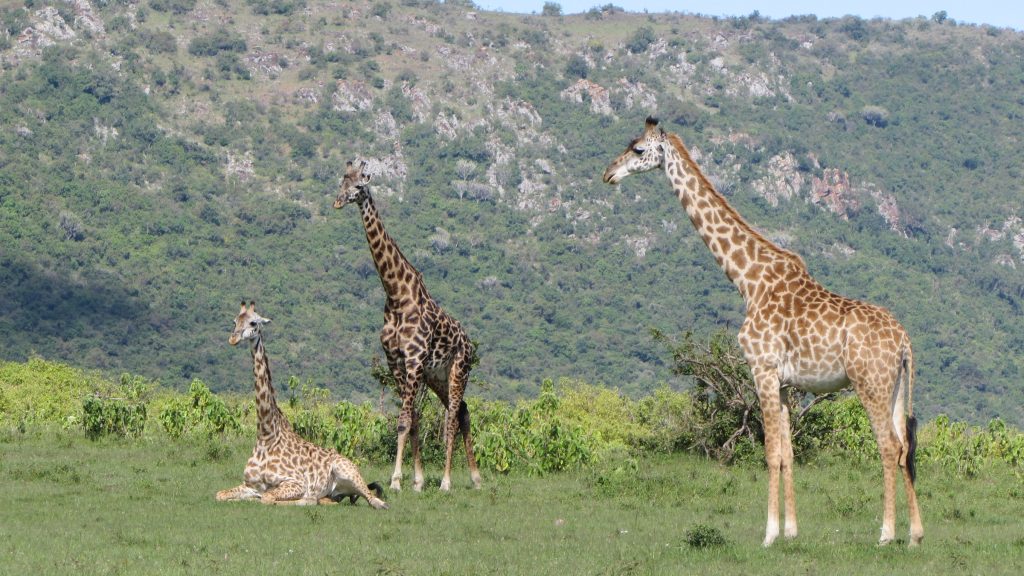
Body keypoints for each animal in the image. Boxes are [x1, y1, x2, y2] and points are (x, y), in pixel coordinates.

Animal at [215, 301, 387, 506]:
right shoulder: (249, 484)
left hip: (346, 470)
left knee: (375, 501)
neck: (266, 436)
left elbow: (268, 498)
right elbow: (220, 494)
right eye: (234, 321)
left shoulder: (295, 482)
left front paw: (303, 499)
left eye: (253, 323)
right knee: (334, 499)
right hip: (338, 491)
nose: (233, 338)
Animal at [333, 158, 481, 491]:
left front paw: (397, 480)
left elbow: (403, 422)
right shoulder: (396, 362)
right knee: (464, 411)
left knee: (453, 416)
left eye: (358, 185)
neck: (396, 294)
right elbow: (412, 419)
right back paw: (476, 478)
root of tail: (470, 344)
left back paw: (448, 482)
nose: (337, 202)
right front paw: (416, 479)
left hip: (458, 370)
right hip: (437, 376)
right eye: (340, 181)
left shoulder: (413, 361)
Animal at [602, 116, 925, 541]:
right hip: (895, 386)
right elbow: (788, 453)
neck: (747, 280)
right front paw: (791, 531)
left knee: (888, 446)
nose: (608, 173)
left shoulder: (762, 368)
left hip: (869, 382)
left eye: (638, 149)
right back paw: (916, 534)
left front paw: (769, 533)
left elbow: (771, 452)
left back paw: (887, 534)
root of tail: (904, 341)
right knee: (905, 445)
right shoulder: (785, 382)